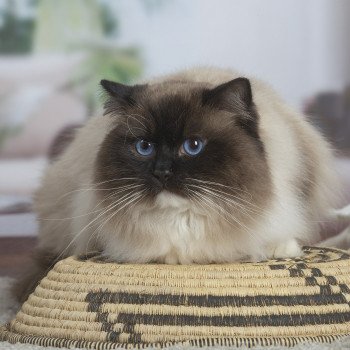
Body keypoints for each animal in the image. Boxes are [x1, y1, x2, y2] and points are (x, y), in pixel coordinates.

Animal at [14, 67, 340, 302]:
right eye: (144, 147)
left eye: (193, 146)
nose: (162, 172)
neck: (183, 222)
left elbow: (274, 242)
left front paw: (280, 250)